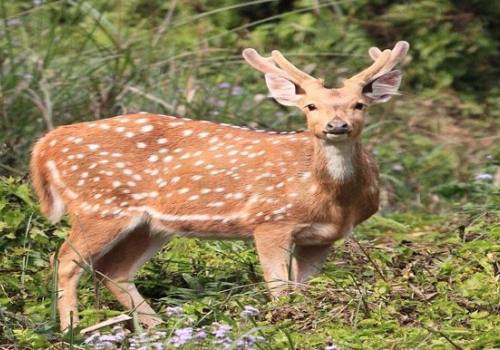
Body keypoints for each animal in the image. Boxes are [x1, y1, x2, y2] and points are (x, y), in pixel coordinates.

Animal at [29, 41, 408, 330]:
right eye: (310, 106)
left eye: (359, 104)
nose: (337, 125)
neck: (332, 200)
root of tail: (45, 144)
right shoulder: (271, 220)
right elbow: (279, 288)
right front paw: (286, 323)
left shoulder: (321, 238)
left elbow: (300, 288)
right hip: (98, 206)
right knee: (66, 260)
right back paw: (73, 330)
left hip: (151, 225)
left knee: (113, 271)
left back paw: (161, 329)